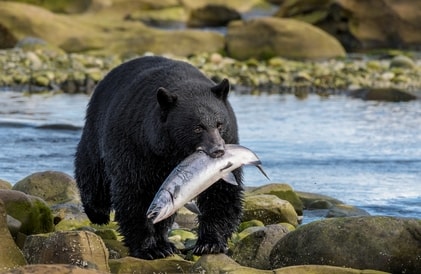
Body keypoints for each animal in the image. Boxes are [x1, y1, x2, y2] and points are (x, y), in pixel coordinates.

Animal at [74, 55, 241, 260]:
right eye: (197, 127)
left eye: (220, 124)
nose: (218, 150)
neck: (172, 152)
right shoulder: (137, 146)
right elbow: (136, 193)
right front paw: (150, 248)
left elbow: (221, 192)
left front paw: (210, 243)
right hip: (97, 127)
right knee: (92, 170)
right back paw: (98, 213)